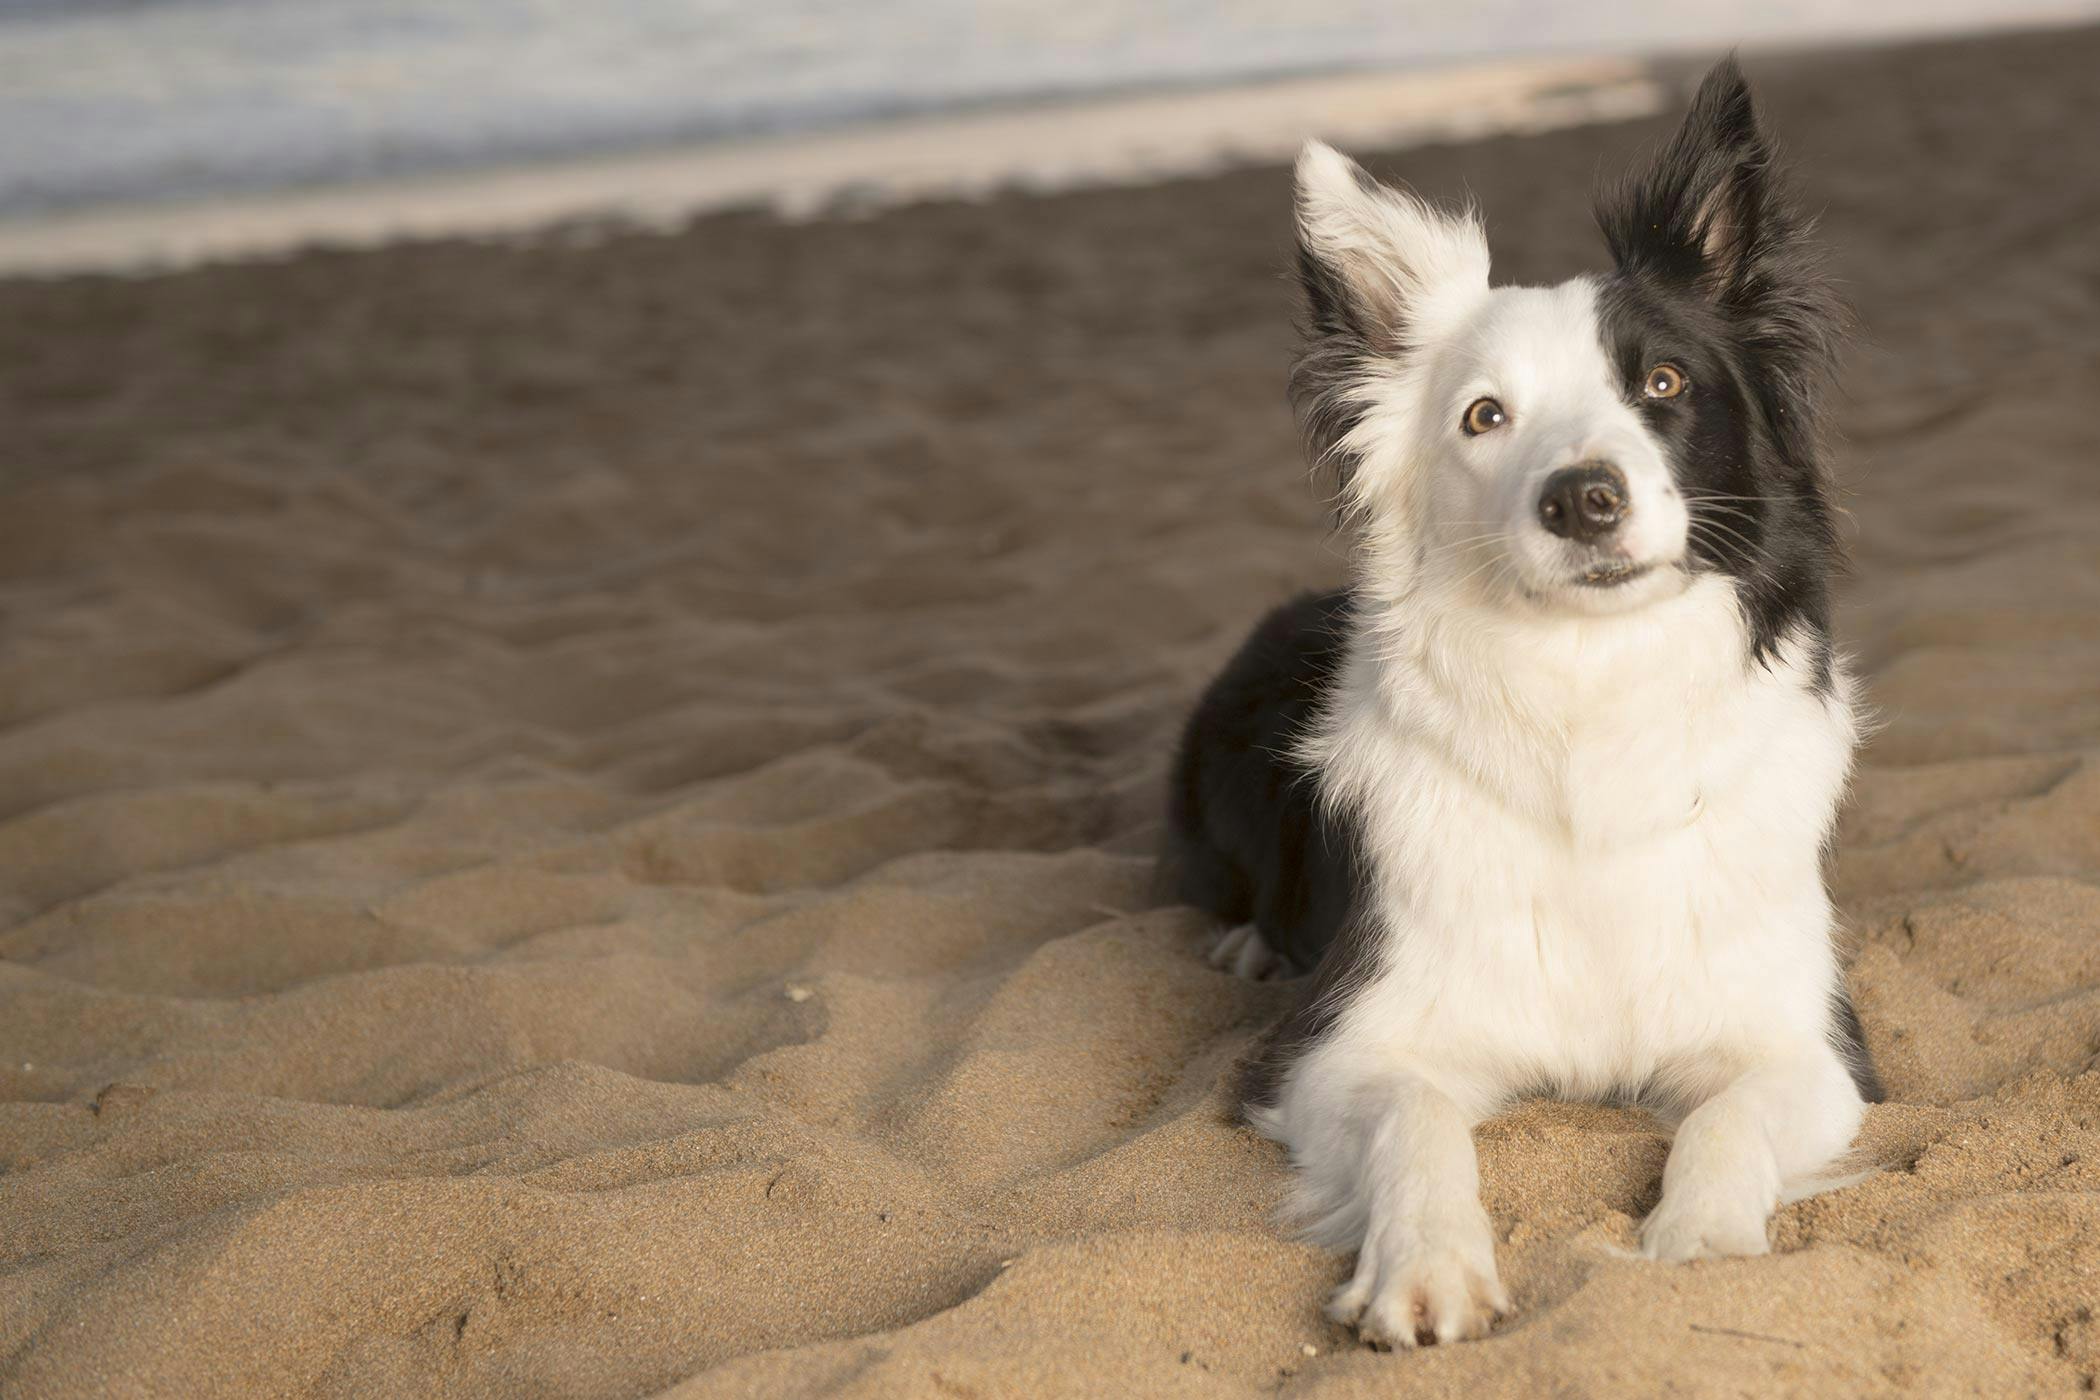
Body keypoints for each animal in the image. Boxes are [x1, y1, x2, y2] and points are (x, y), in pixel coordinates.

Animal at [1167, 60, 1889, 1351]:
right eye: (1484, 415)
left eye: (1663, 383)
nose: (1583, 497)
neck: (1586, 696)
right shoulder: (1339, 1047)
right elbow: (1419, 1123)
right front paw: (1426, 1269)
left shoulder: (1811, 1045)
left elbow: (1727, 1117)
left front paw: (1701, 1243)